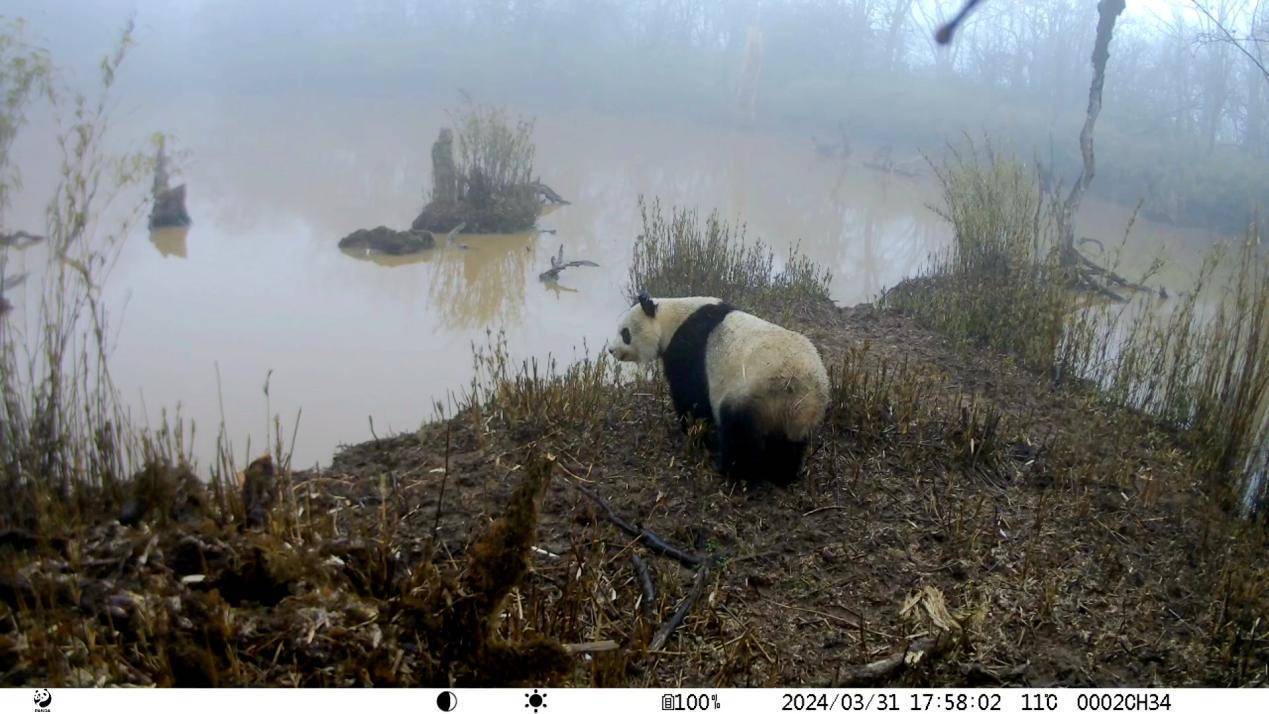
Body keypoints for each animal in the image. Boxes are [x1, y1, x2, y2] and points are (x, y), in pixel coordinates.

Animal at [606, 291, 832, 486]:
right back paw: (782, 475)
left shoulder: (689, 348)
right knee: (788, 446)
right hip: (794, 414)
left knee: (739, 435)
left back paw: (732, 471)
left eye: (625, 333)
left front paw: (692, 431)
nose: (611, 350)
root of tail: (801, 389)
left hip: (751, 393)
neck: (671, 317)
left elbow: (691, 396)